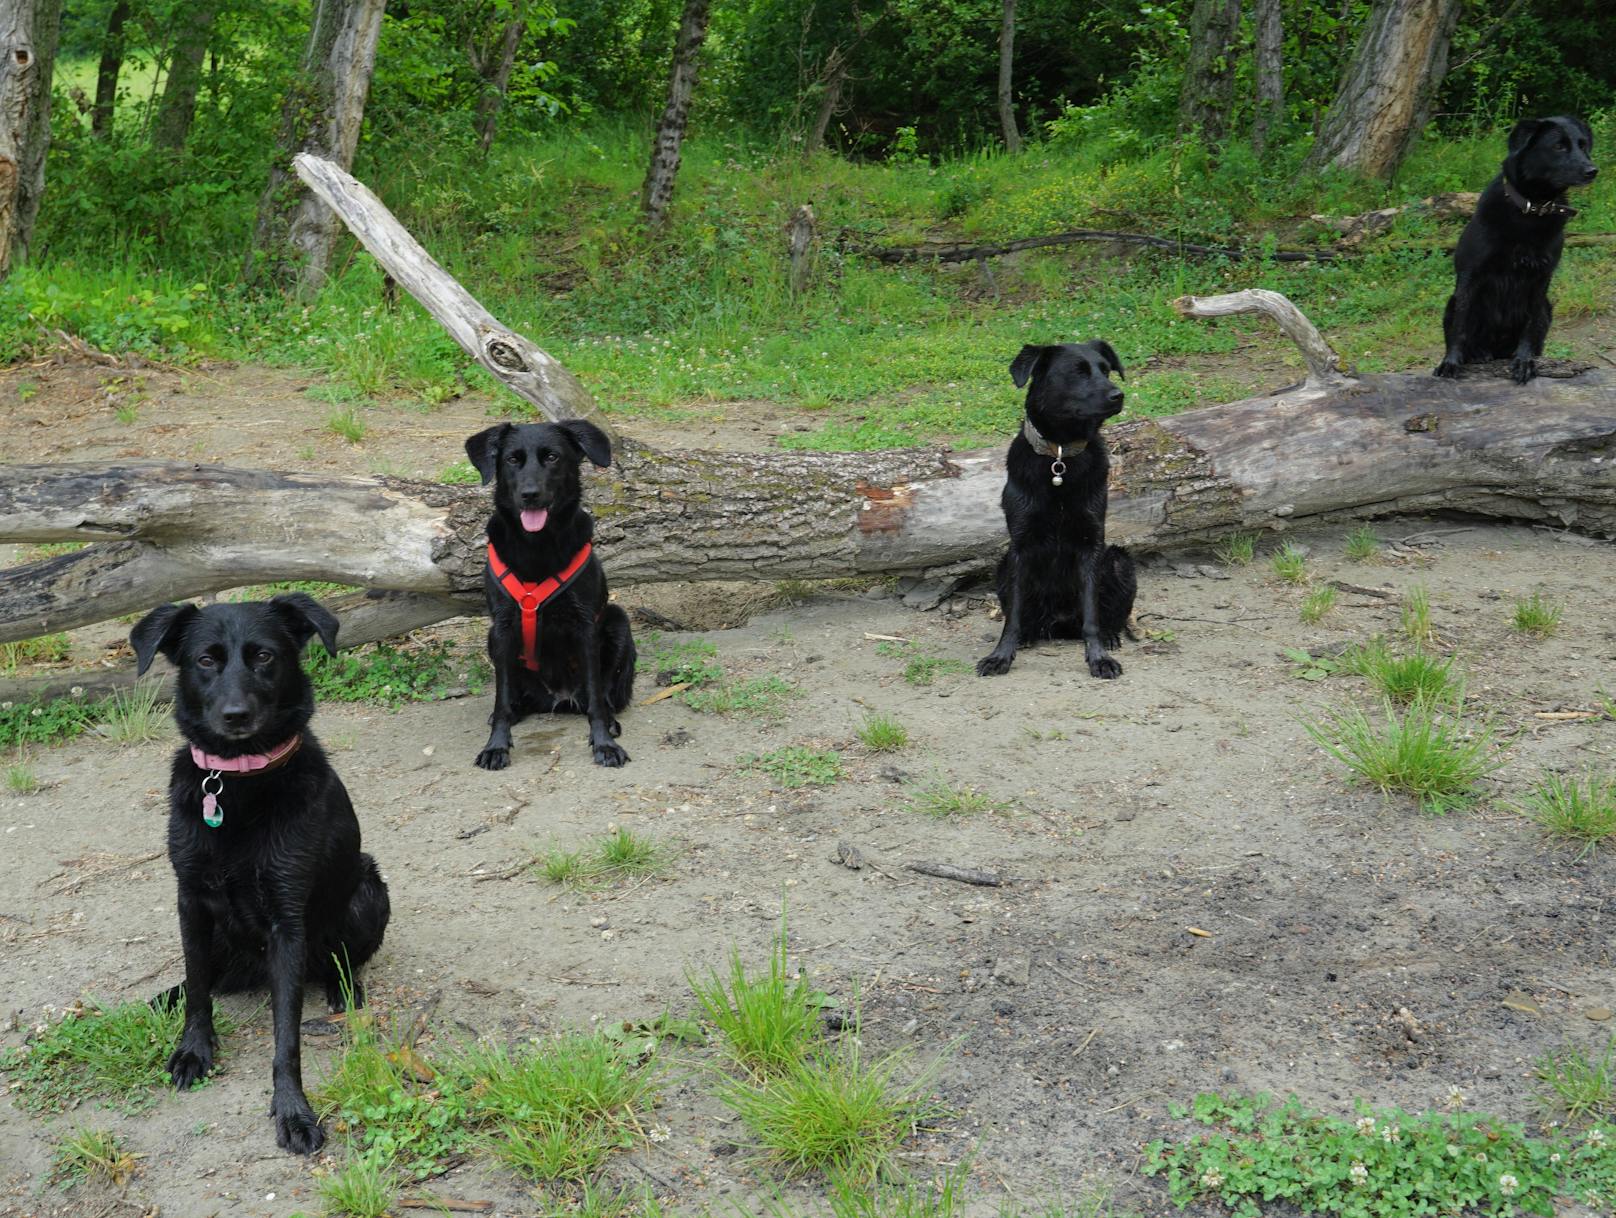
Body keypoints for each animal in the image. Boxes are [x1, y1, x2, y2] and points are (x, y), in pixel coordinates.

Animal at [130, 594, 387, 1150]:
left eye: (265, 656)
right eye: (205, 660)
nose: (236, 715)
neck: (235, 783)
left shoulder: (286, 919)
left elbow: (286, 1036)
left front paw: (293, 1109)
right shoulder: (190, 901)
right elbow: (198, 990)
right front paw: (194, 1050)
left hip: (367, 888)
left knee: (342, 959)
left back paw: (343, 991)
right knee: (208, 977)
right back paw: (166, 996)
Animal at [465, 416, 633, 768]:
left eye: (553, 457)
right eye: (512, 459)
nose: (530, 494)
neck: (537, 548)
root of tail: (560, 699)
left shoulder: (585, 626)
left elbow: (596, 698)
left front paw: (604, 743)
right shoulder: (502, 628)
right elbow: (501, 698)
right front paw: (496, 746)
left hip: (617, 620)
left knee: (604, 694)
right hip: (492, 640)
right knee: (513, 697)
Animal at [969, 342, 1137, 678]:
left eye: (1106, 370)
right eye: (1078, 372)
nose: (1118, 395)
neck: (1059, 457)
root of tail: (1059, 625)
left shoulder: (1090, 544)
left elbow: (1091, 618)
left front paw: (1098, 658)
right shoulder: (1020, 547)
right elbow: (1013, 618)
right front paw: (1001, 656)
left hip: (1119, 561)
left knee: (1108, 618)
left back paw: (1110, 636)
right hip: (1003, 566)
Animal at [1435, 114, 1596, 381]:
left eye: (1583, 145)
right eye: (1559, 146)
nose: (1592, 171)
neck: (1531, 209)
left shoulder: (1540, 279)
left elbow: (1529, 327)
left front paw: (1523, 361)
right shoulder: (1471, 276)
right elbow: (1460, 325)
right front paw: (1451, 362)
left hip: (1547, 308)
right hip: (1451, 301)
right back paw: (1477, 353)